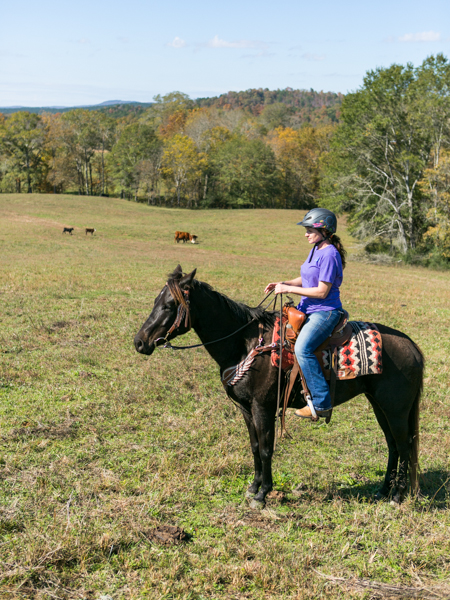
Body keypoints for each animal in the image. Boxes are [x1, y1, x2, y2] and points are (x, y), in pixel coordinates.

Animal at [134, 264, 426, 504]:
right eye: (156, 301)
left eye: (169, 305)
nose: (139, 342)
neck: (245, 344)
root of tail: (412, 346)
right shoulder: (246, 409)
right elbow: (254, 447)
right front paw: (253, 487)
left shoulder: (263, 407)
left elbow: (266, 449)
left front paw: (263, 494)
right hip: (380, 405)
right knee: (392, 445)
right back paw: (383, 490)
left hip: (396, 409)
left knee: (403, 445)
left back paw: (397, 495)